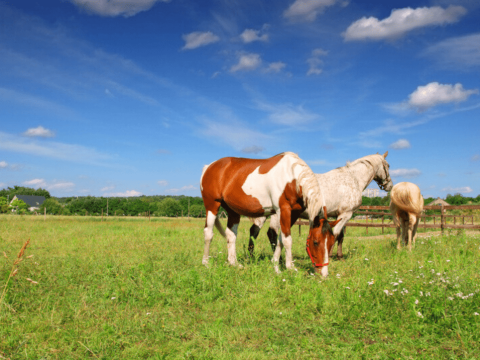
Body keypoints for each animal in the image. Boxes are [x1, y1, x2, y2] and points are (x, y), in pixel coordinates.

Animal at [201, 152, 332, 276]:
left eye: (331, 243)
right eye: (315, 242)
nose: (323, 274)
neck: (292, 177)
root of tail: (209, 166)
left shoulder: (294, 213)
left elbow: (281, 239)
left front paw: (276, 267)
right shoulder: (283, 210)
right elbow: (287, 240)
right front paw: (290, 268)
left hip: (233, 211)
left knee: (231, 235)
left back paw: (234, 263)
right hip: (212, 205)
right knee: (208, 234)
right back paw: (206, 263)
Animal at [249, 151, 392, 258]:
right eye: (388, 165)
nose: (389, 186)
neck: (353, 179)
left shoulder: (339, 215)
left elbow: (341, 236)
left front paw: (339, 255)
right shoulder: (346, 214)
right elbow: (336, 234)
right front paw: (330, 255)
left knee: (254, 230)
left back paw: (251, 256)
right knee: (271, 233)